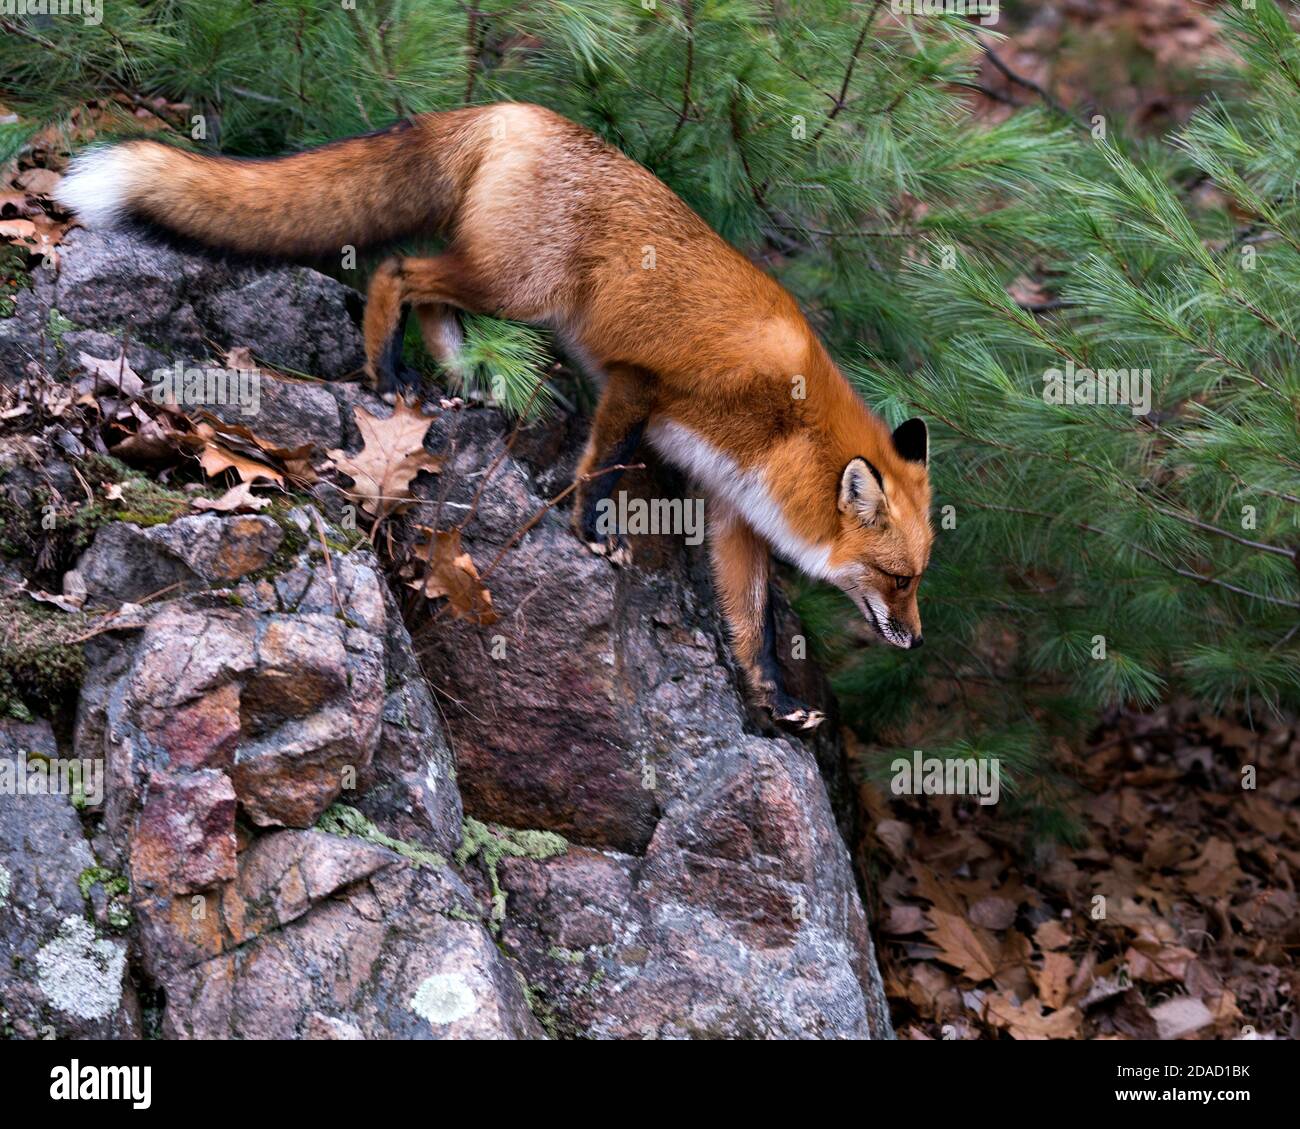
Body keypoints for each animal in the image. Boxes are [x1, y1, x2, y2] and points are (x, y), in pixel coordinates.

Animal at [58, 101, 935, 728]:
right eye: (899, 577)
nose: (917, 638)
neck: (788, 428)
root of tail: (514, 110)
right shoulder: (641, 381)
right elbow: (602, 462)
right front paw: (592, 530)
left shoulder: (732, 506)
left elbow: (751, 622)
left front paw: (774, 696)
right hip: (521, 286)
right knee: (397, 271)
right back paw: (387, 368)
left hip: (507, 283)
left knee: (429, 295)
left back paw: (466, 376)